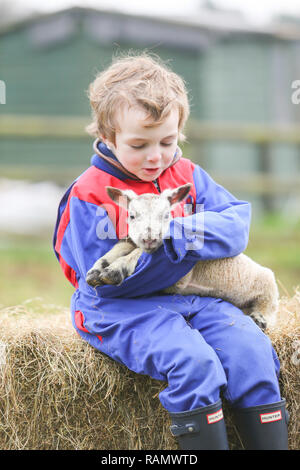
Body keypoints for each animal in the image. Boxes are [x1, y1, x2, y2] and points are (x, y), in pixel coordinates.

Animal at [86, 184, 278, 330]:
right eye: (132, 216)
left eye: (166, 215)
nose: (149, 238)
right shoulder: (131, 241)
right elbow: (119, 248)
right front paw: (95, 271)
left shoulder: (179, 277)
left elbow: (136, 253)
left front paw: (114, 271)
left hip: (268, 285)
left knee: (269, 309)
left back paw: (259, 319)